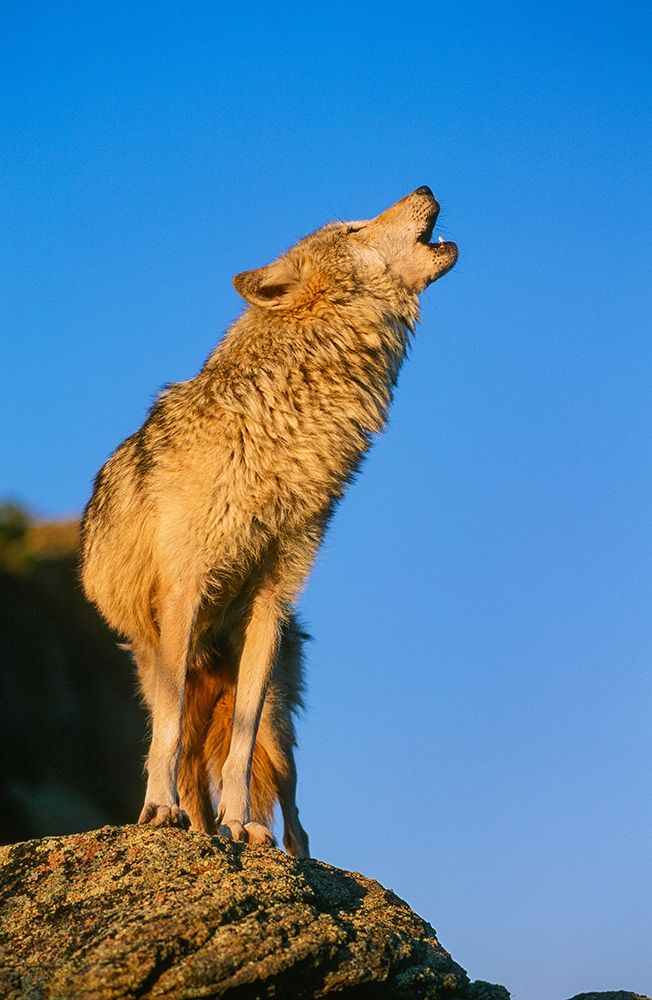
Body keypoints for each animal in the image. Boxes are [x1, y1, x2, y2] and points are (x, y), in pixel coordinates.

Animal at [81, 185, 457, 857]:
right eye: (353, 228)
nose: (426, 189)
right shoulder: (185, 592)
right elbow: (166, 735)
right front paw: (159, 811)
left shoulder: (270, 604)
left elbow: (241, 741)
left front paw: (239, 824)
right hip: (164, 674)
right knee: (179, 752)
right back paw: (186, 817)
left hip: (283, 727)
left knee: (292, 811)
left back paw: (271, 842)